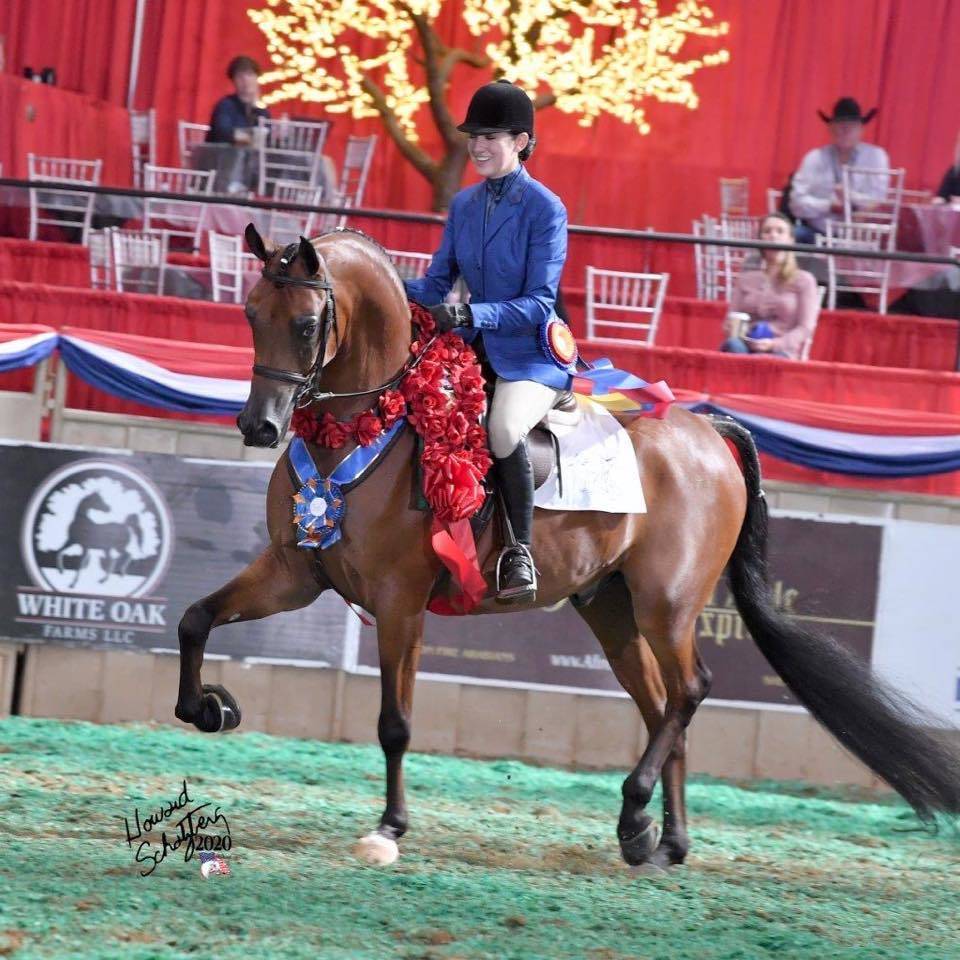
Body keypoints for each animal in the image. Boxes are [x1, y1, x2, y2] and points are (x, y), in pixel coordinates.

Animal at [174, 225, 960, 870]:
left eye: (307, 324)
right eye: (250, 314)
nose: (258, 427)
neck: (368, 425)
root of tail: (707, 428)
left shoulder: (400, 602)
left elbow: (395, 722)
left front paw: (389, 828)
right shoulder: (294, 573)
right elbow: (195, 618)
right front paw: (210, 707)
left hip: (668, 602)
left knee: (690, 690)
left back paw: (635, 813)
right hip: (611, 607)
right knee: (662, 705)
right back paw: (662, 841)